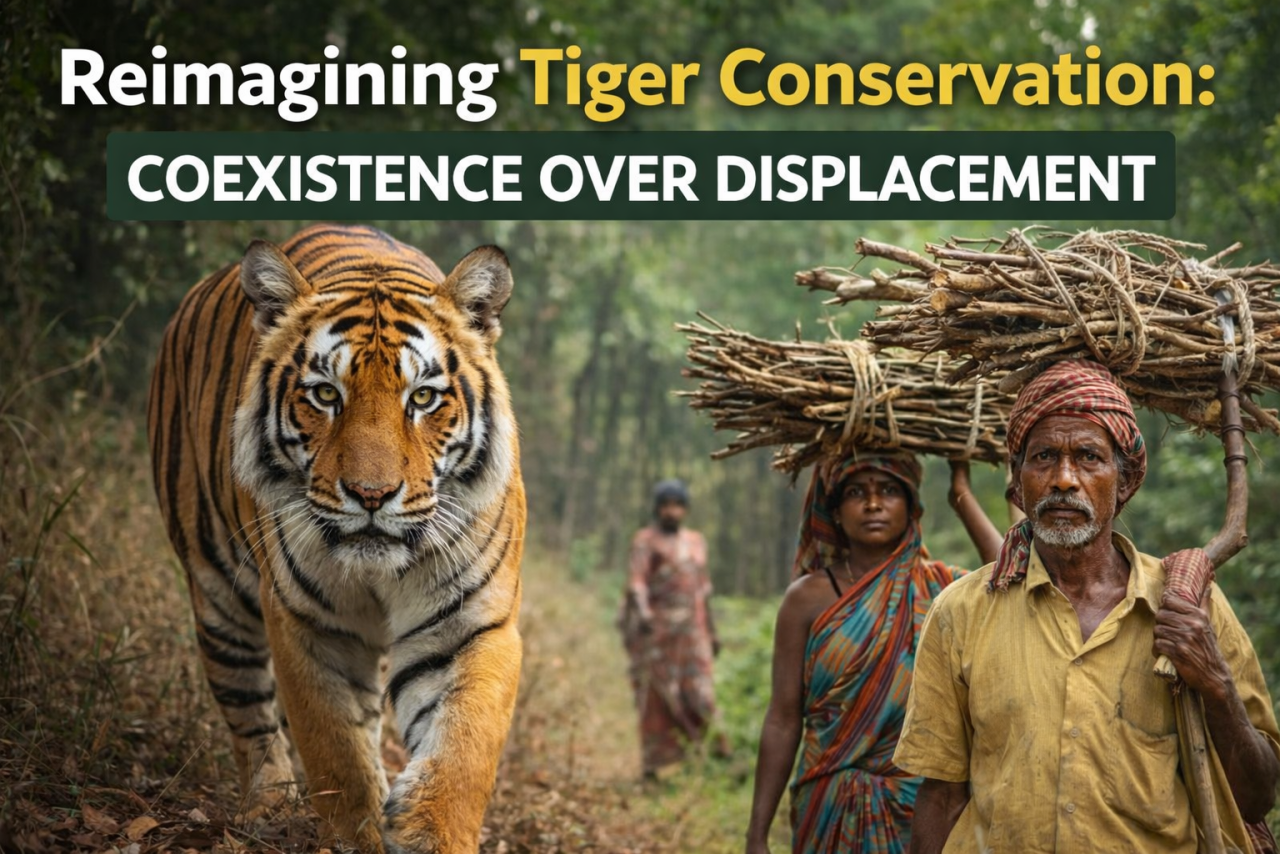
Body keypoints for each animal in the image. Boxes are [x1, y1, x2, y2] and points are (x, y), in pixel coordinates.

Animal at [147, 223, 526, 853]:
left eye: (423, 398)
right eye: (326, 395)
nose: (372, 495)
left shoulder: (470, 624)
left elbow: (465, 747)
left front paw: (429, 830)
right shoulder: (309, 624)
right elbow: (335, 753)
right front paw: (354, 834)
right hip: (216, 591)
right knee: (249, 711)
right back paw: (267, 805)